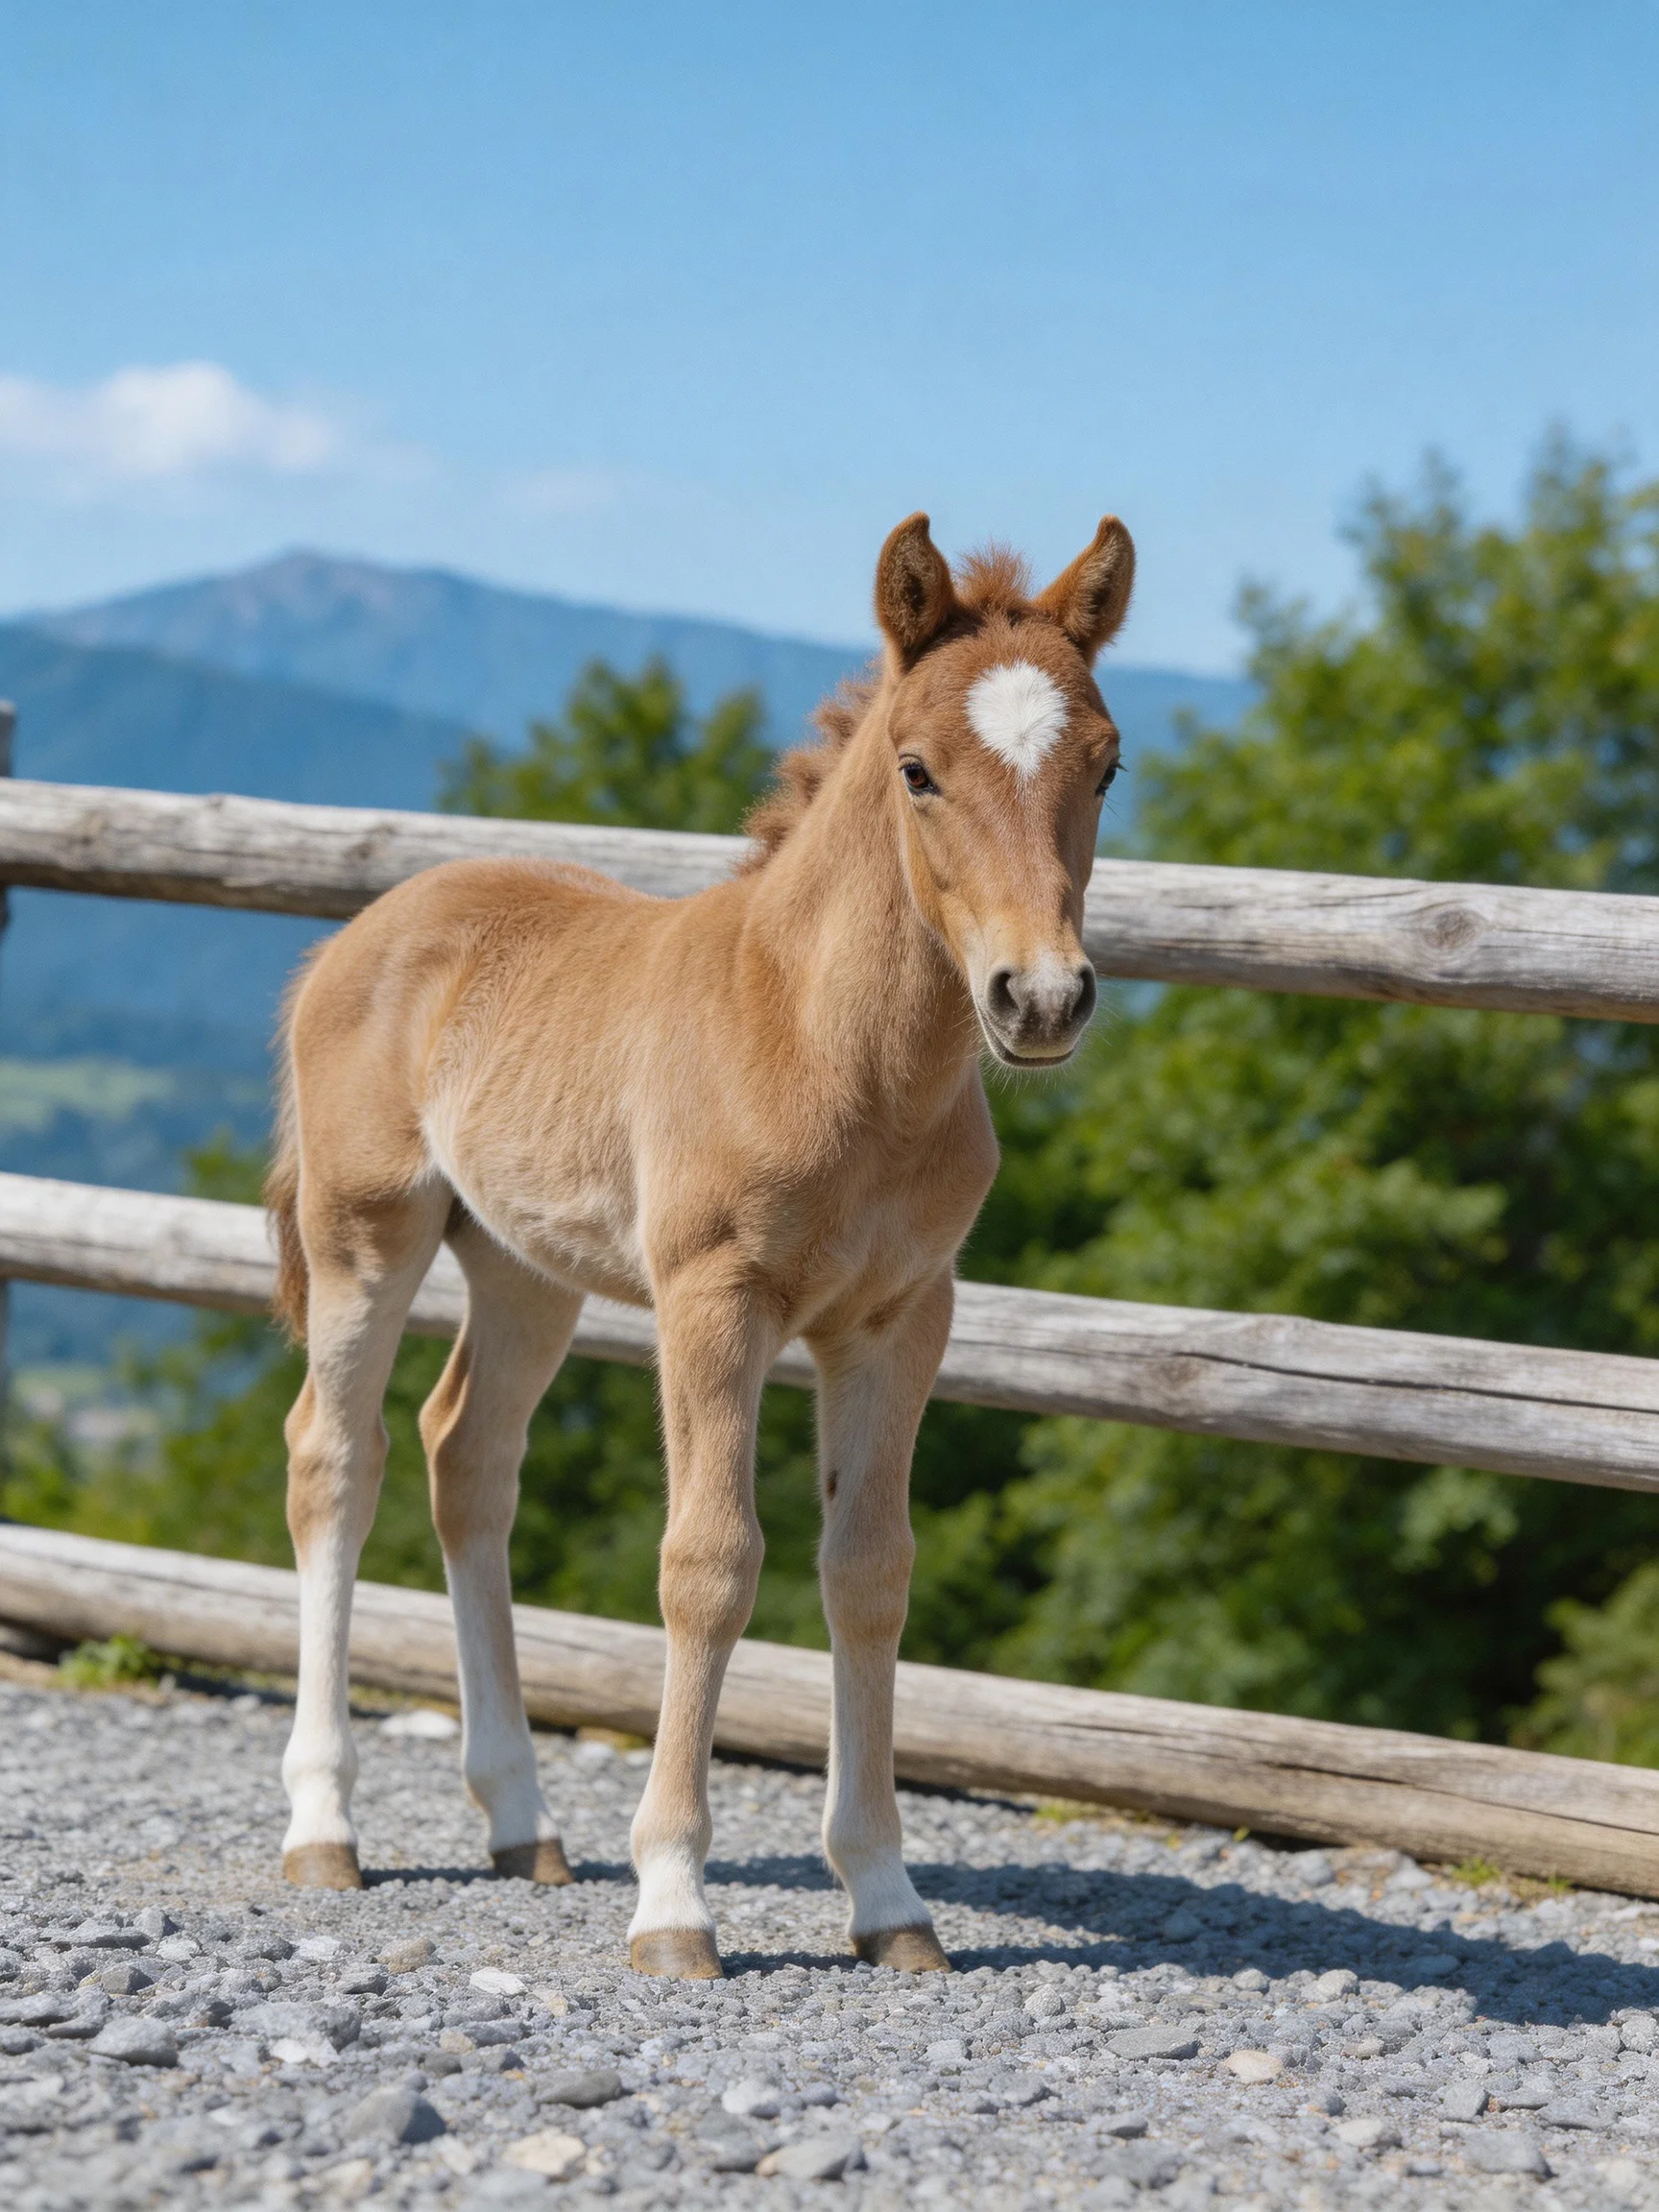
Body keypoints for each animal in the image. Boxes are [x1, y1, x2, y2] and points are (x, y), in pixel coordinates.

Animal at [266, 509, 1134, 1978]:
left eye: (1107, 765)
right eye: (917, 771)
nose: (1042, 999)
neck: (827, 1045)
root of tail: (353, 941)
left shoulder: (902, 1320)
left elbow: (870, 1574)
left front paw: (889, 1899)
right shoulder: (711, 1300)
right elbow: (709, 1565)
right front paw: (673, 1900)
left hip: (523, 1269)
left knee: (465, 1460)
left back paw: (523, 1824)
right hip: (365, 1235)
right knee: (337, 1456)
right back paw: (323, 1828)